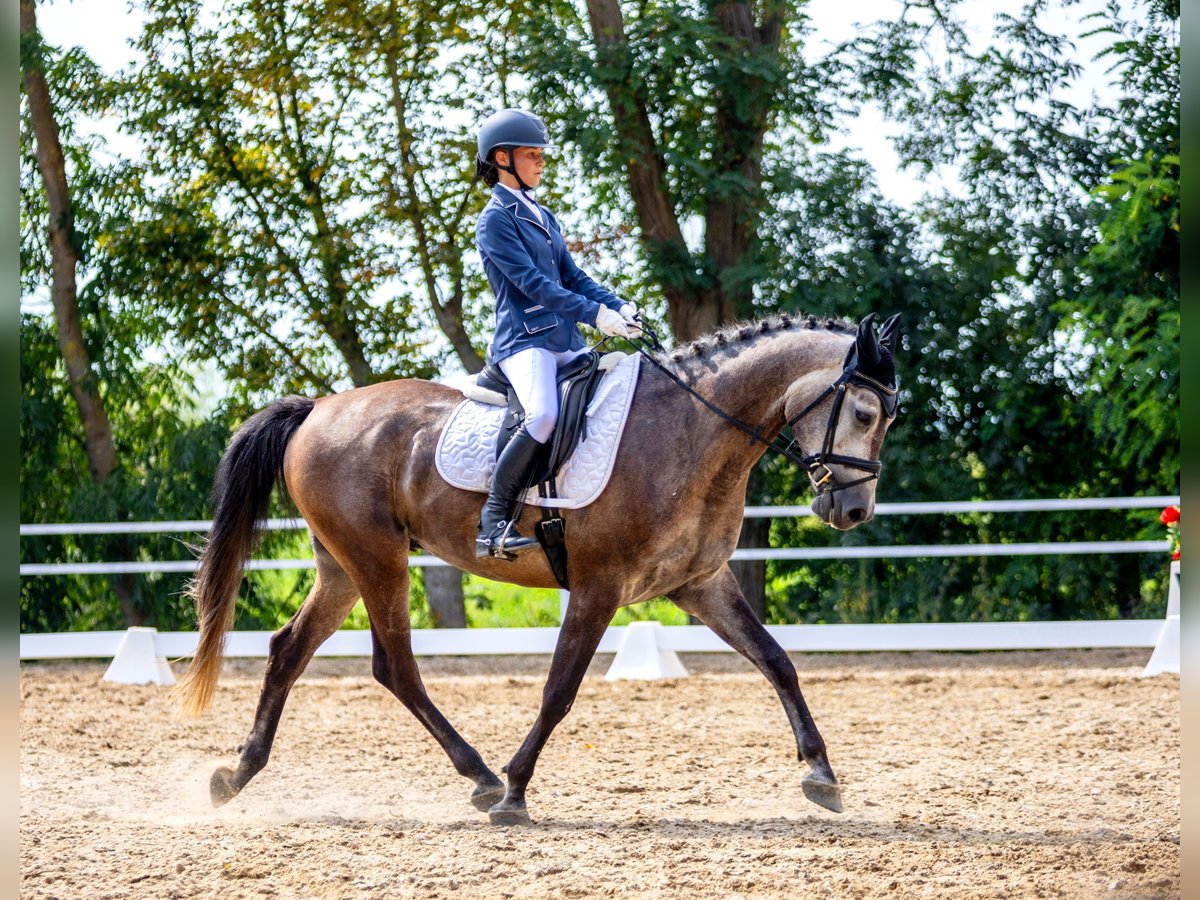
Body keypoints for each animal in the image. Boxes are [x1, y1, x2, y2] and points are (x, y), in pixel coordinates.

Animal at [175, 309, 902, 825]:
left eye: (889, 417)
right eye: (866, 411)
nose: (853, 510)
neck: (690, 432)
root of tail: (317, 409)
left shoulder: (700, 583)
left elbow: (777, 660)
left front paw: (821, 776)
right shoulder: (599, 587)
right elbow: (559, 690)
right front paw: (517, 792)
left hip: (342, 567)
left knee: (290, 651)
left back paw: (236, 776)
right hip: (377, 559)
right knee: (395, 667)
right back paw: (483, 778)